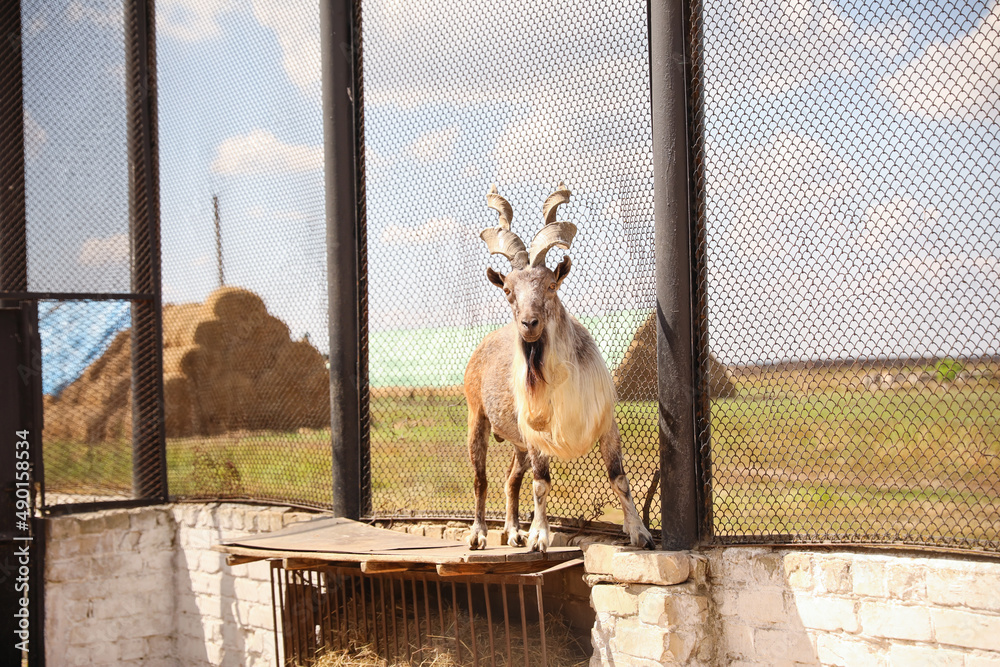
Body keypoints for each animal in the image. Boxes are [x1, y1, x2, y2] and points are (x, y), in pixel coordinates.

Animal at [462, 184, 656, 552]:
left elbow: (619, 478)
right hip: (477, 415)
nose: (529, 324)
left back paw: (513, 532)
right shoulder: (538, 436)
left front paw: (639, 532)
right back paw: (479, 534)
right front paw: (540, 536)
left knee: (510, 479)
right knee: (481, 478)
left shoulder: (606, 423)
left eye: (551, 285)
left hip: (517, 443)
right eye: (508, 291)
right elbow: (541, 483)